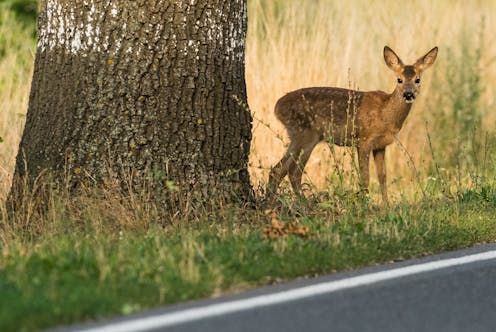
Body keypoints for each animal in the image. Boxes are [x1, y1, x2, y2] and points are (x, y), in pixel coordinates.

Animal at [268, 45, 438, 204]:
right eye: (399, 79)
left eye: (418, 79)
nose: (408, 94)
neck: (385, 113)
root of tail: (277, 107)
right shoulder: (363, 139)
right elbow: (365, 178)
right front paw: (365, 205)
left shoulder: (380, 145)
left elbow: (382, 177)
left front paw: (387, 206)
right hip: (304, 135)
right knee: (292, 172)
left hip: (299, 136)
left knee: (280, 170)